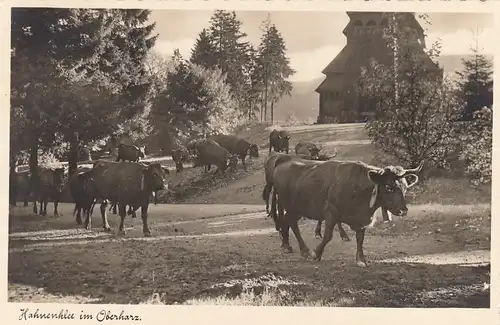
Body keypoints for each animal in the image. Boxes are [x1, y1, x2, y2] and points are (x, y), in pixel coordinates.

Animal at [270, 158, 422, 268]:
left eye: (405, 187)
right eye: (389, 187)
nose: (403, 210)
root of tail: (284, 162)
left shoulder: (362, 220)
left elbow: (360, 239)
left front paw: (361, 259)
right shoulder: (331, 212)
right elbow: (328, 236)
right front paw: (316, 253)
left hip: (296, 209)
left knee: (285, 221)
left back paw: (286, 245)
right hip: (289, 206)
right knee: (292, 224)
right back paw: (304, 250)